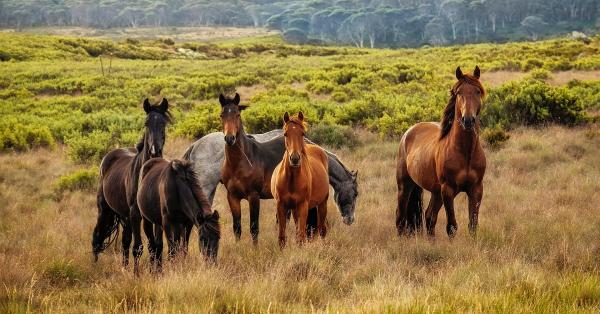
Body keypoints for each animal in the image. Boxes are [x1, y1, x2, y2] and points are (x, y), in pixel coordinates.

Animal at [91, 96, 171, 268]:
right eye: (146, 123)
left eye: (164, 123)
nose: (154, 151)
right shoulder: (135, 214)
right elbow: (139, 247)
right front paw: (137, 273)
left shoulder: (154, 216)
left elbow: (157, 246)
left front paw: (157, 271)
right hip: (105, 210)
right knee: (97, 236)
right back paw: (95, 264)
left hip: (125, 216)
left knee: (125, 242)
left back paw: (125, 267)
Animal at [270, 111, 328, 247]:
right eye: (285, 134)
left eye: (302, 133)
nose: (295, 159)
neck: (291, 180)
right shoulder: (281, 205)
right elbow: (282, 237)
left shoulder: (303, 206)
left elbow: (301, 236)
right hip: (294, 209)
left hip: (322, 204)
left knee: (322, 230)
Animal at [396, 66, 486, 238]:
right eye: (459, 93)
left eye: (478, 91)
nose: (468, 120)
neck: (465, 152)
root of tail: (409, 132)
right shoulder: (448, 190)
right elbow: (452, 227)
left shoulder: (476, 189)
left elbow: (473, 225)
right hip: (405, 186)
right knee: (400, 217)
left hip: (435, 192)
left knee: (429, 216)